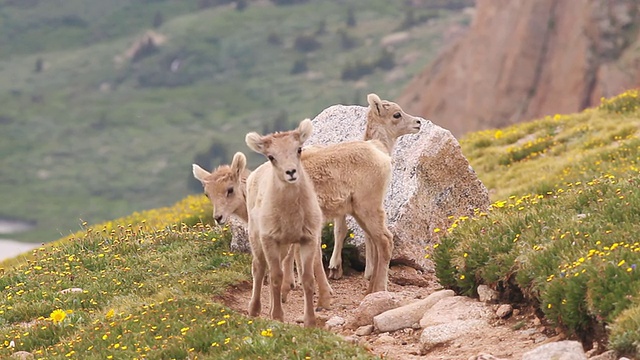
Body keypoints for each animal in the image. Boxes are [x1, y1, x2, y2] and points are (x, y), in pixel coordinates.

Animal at [242, 119, 322, 328]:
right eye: (271, 156)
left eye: (299, 149)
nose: (291, 172)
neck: (290, 217)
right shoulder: (269, 239)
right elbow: (276, 277)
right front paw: (278, 317)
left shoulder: (308, 239)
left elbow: (308, 279)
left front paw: (310, 322)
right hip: (256, 238)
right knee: (259, 268)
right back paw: (254, 310)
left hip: (285, 246)